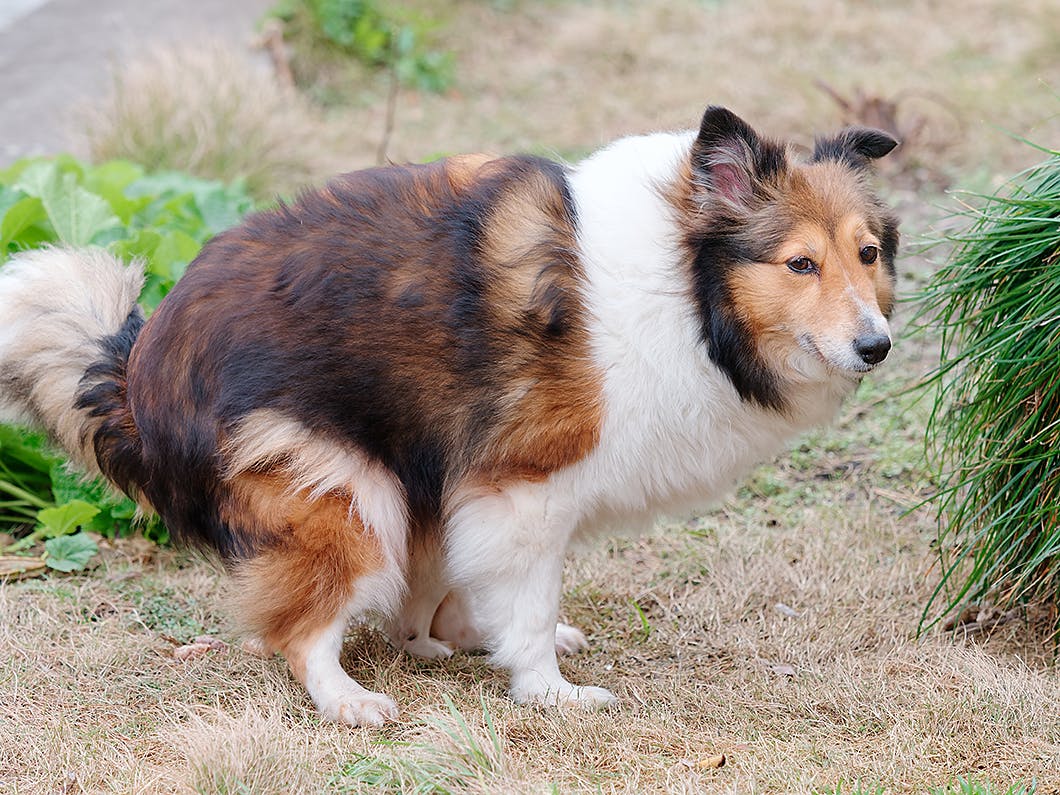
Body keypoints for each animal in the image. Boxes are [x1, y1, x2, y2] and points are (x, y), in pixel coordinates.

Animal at [0, 105, 898, 729]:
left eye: (868, 253)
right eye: (800, 263)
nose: (877, 345)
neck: (685, 288)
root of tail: (139, 369)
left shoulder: (485, 493)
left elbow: (493, 585)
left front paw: (494, 641)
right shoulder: (525, 484)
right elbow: (526, 605)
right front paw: (548, 692)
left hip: (414, 471)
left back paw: (433, 637)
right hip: (349, 489)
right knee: (298, 630)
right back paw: (348, 698)